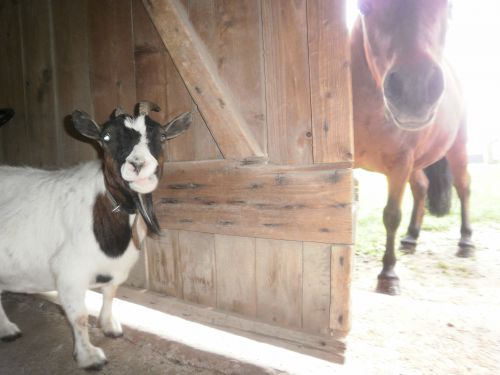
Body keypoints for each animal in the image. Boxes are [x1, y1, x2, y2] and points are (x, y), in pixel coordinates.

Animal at [0, 102, 191, 370]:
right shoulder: (69, 273)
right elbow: (79, 317)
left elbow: (111, 293)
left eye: (162, 136)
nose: (138, 164)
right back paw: (8, 330)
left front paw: (110, 326)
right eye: (106, 137)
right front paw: (89, 356)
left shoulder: (113, 268)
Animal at [352, 0, 472, 296]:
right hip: (416, 164)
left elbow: (391, 215)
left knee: (463, 187)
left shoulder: (400, 163)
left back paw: (466, 242)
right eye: (364, 6)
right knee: (421, 188)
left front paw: (388, 275)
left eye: (449, 5)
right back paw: (411, 237)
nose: (415, 88)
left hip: (457, 150)